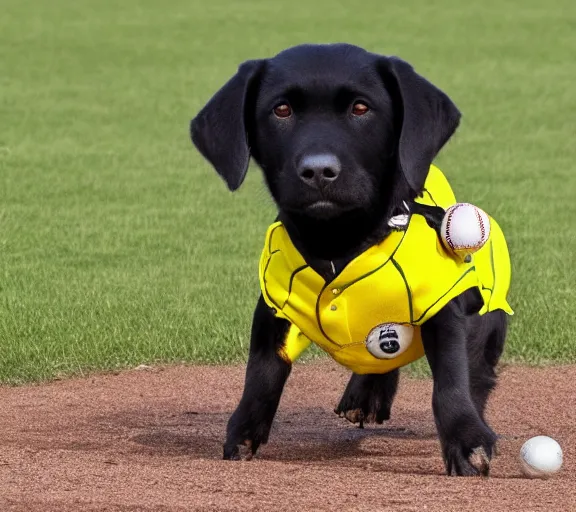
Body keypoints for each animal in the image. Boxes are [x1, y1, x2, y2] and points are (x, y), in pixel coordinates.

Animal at [190, 43, 508, 476]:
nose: (318, 170)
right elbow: (262, 371)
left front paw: (466, 438)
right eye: (281, 110)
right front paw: (244, 429)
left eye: (361, 108)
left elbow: (451, 379)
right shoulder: (273, 304)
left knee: (477, 372)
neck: (338, 244)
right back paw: (367, 391)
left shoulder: (443, 306)